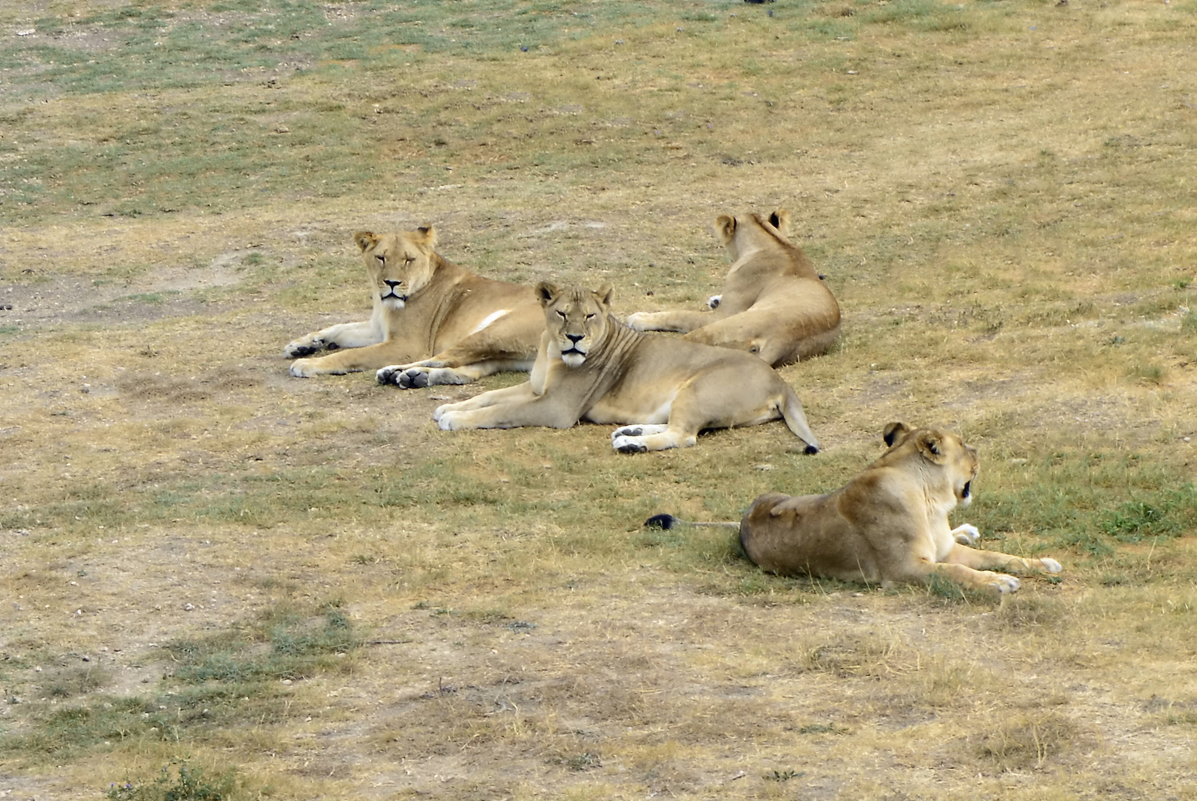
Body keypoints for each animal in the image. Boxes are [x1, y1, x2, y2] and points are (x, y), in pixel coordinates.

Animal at [282, 225, 541, 387]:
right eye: (381, 258)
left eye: (408, 260)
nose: (392, 283)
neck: (383, 303)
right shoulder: (378, 329)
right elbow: (338, 328)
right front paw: (300, 346)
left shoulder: (407, 344)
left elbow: (352, 353)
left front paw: (308, 363)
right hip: (504, 355)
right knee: (466, 369)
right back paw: (414, 377)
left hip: (492, 332)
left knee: (441, 358)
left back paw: (395, 372)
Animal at [433, 283, 823, 452]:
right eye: (562, 313)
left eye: (591, 315)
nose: (575, 338)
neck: (552, 352)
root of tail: (781, 381)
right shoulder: (534, 387)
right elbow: (489, 397)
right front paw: (449, 408)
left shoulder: (555, 408)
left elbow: (499, 411)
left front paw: (455, 420)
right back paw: (630, 432)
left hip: (697, 389)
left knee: (684, 436)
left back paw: (630, 444)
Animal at [627, 209, 842, 366]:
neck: (774, 242)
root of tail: (783, 341)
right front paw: (714, 299)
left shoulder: (724, 313)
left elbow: (678, 315)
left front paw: (639, 318)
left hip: (722, 326)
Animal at [651, 421, 1062, 596]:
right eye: (964, 445)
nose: (979, 453)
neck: (931, 503)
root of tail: (740, 522)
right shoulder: (904, 569)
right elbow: (959, 573)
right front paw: (999, 583)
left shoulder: (945, 550)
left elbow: (999, 556)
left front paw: (1042, 564)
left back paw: (968, 529)